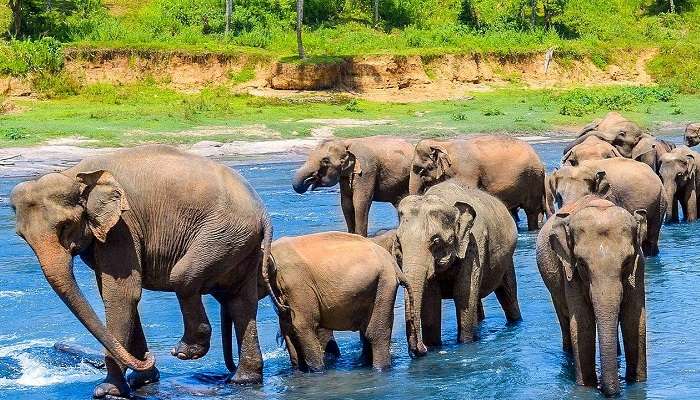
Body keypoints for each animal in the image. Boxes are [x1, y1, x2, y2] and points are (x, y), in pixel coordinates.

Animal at [10, 145, 276, 396]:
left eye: (65, 226)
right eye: (22, 237)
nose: (150, 357)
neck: (73, 174)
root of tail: (263, 213)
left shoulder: (123, 227)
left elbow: (122, 294)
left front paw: (108, 391)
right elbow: (117, 294)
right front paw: (142, 381)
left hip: (223, 235)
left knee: (184, 277)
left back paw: (185, 352)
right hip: (240, 244)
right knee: (241, 300)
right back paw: (244, 380)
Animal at [262, 231, 426, 372]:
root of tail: (394, 265)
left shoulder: (297, 285)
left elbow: (303, 325)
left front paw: (317, 372)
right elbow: (288, 329)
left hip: (384, 285)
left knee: (376, 334)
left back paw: (379, 369)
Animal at [394, 180, 520, 346]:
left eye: (436, 241)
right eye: (399, 242)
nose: (421, 348)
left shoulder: (475, 243)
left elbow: (463, 293)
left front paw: (466, 343)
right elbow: (431, 298)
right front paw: (433, 346)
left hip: (507, 259)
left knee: (508, 294)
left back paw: (515, 322)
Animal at [540, 195, 648, 396]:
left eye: (627, 261)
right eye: (582, 263)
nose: (611, 393)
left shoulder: (639, 266)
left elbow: (633, 320)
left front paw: (637, 382)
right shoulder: (569, 271)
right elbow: (582, 324)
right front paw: (587, 386)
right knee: (564, 320)